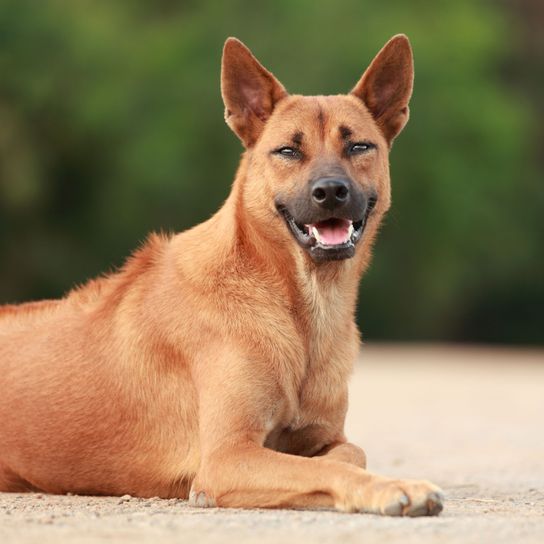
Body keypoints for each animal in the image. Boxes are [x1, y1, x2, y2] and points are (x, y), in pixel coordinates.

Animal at [0, 36, 444, 516]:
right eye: (288, 151)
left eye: (359, 147)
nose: (329, 192)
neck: (299, 311)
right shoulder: (228, 456)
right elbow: (331, 468)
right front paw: (394, 487)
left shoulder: (324, 435)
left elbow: (349, 453)